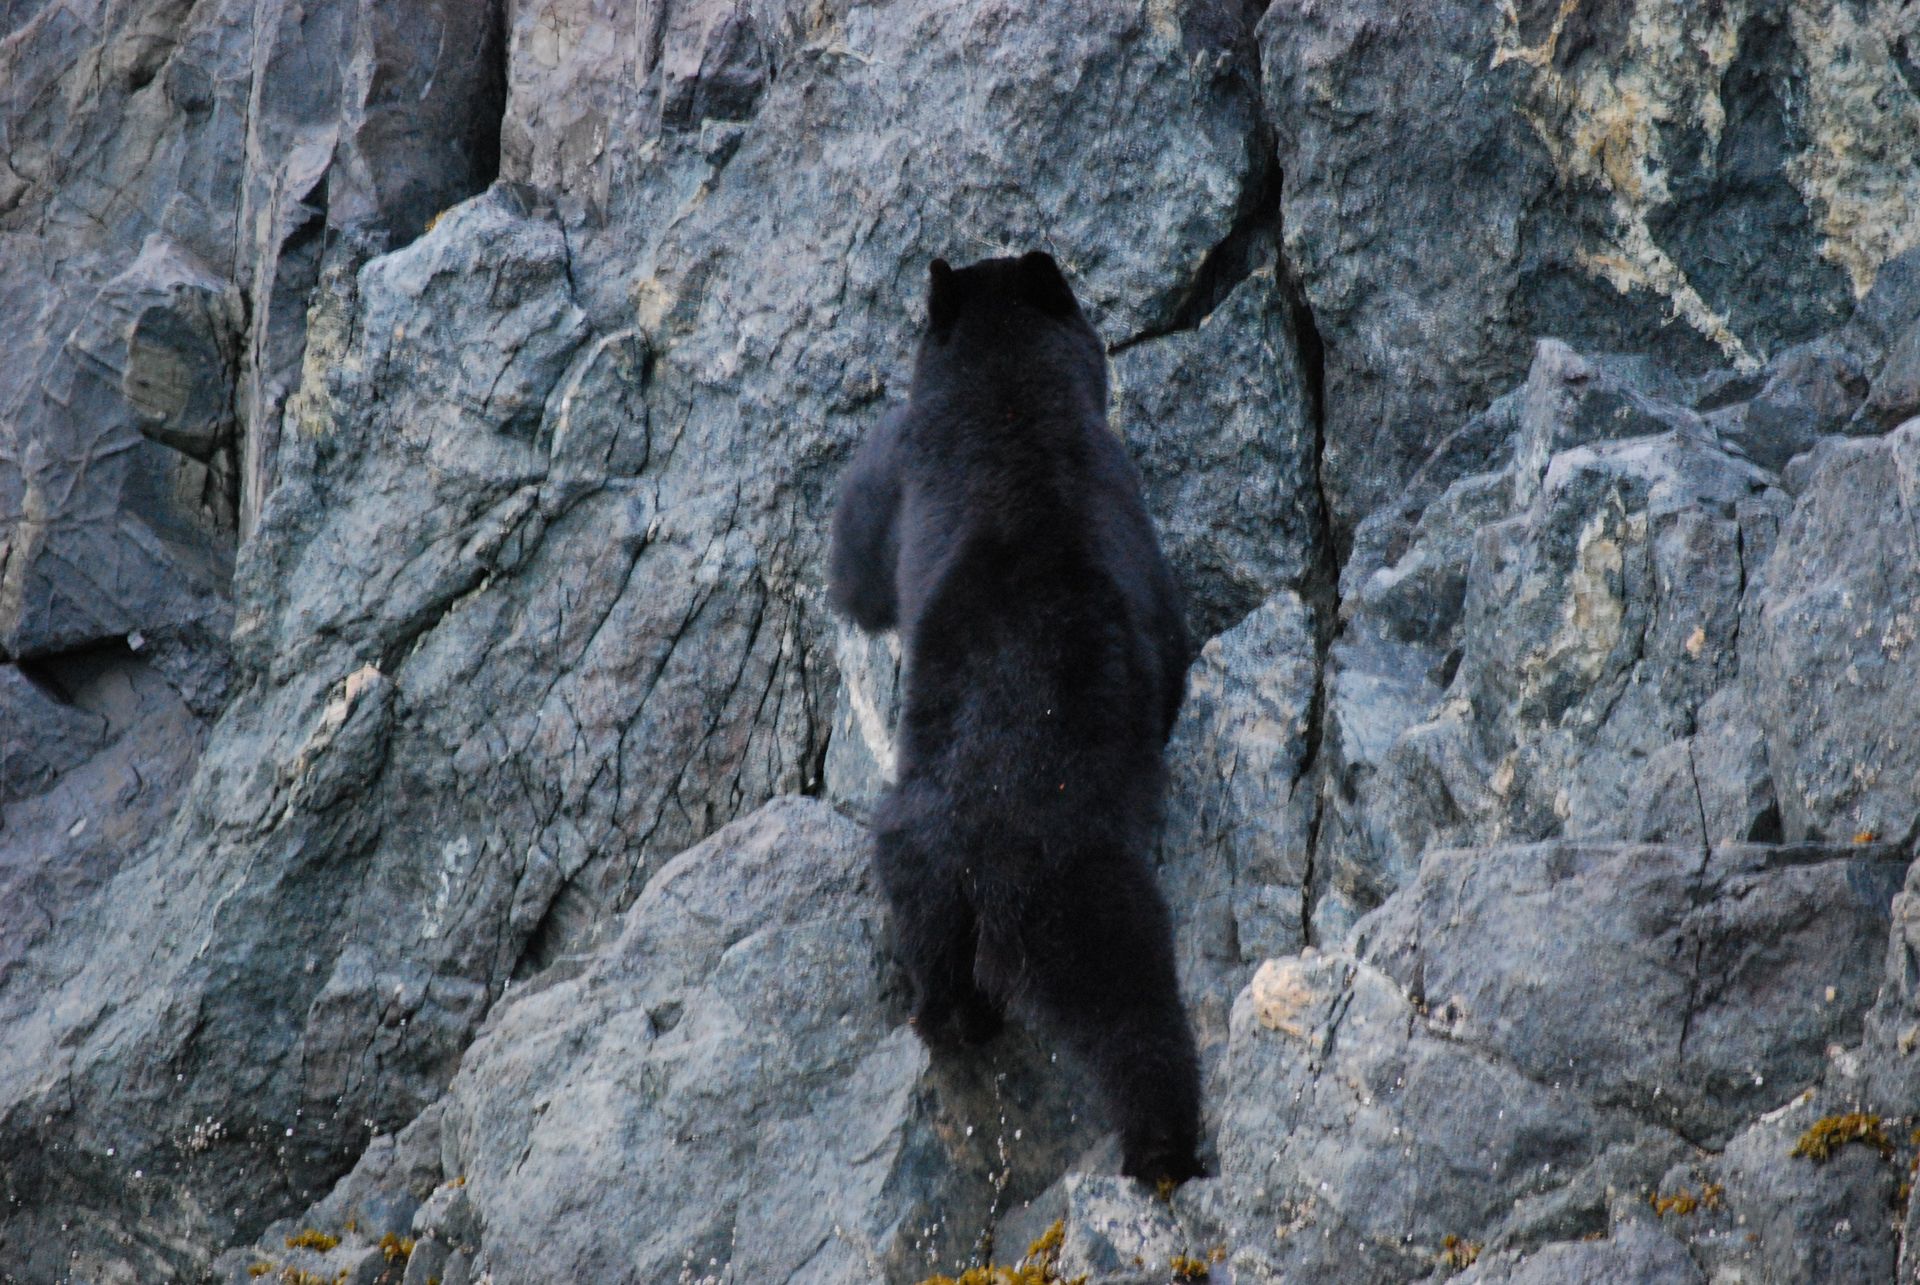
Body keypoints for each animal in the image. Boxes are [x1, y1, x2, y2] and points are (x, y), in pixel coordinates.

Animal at [826, 251, 1202, 1185]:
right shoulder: (1119, 494)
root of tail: (983, 872)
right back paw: (1164, 1145)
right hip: (1073, 887)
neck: (1004, 396)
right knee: (1133, 1002)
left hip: (921, 862)